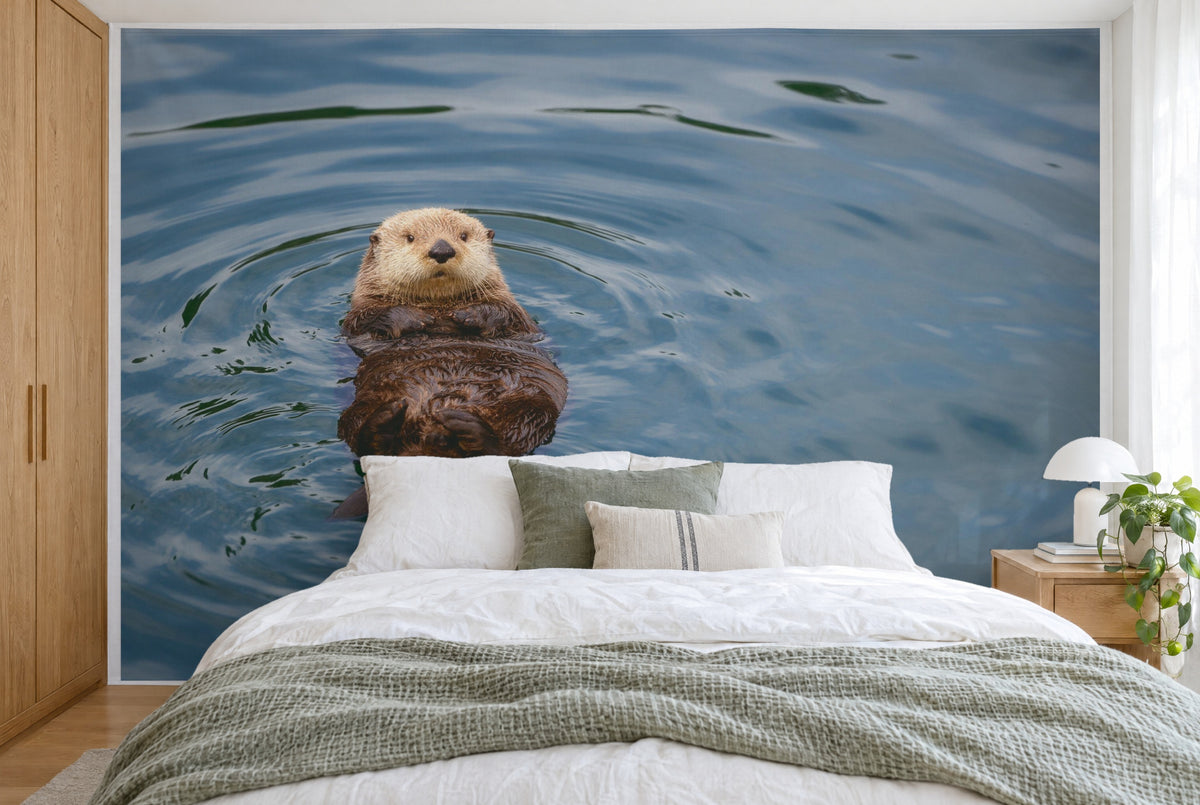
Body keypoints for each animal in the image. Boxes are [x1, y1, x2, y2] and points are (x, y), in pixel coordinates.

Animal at [337, 208, 568, 460]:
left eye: (463, 236)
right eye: (410, 237)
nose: (441, 249)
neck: (439, 307)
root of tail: (427, 440)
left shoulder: (520, 318)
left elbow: (506, 313)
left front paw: (469, 315)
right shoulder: (356, 319)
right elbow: (365, 319)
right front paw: (413, 318)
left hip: (531, 405)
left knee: (505, 446)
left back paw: (465, 426)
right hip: (364, 403)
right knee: (359, 437)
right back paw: (387, 419)